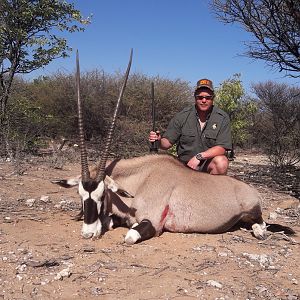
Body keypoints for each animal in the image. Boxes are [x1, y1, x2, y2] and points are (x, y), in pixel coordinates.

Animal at [52, 50, 294, 245]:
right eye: (80, 195)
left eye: (102, 196)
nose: (87, 233)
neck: (142, 180)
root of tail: (252, 190)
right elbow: (110, 222)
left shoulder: (152, 222)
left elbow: (129, 236)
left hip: (252, 212)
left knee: (261, 224)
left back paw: (260, 233)